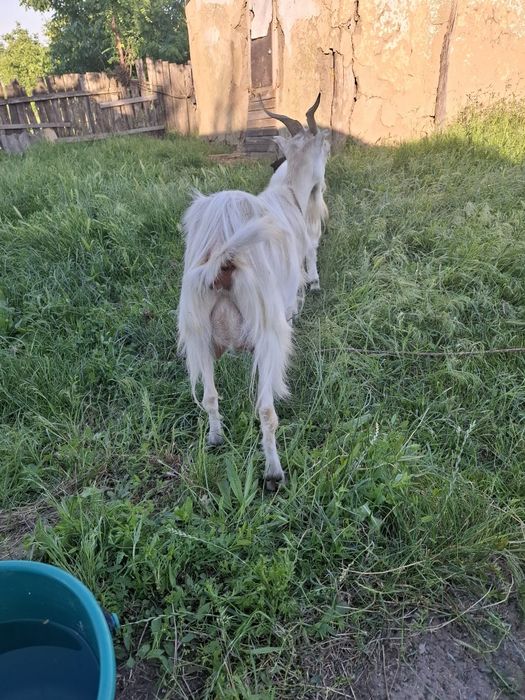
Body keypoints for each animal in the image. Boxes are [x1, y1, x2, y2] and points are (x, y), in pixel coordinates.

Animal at [177, 96, 330, 489]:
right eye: (324, 146)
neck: (289, 194)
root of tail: (223, 258)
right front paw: (315, 282)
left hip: (198, 333)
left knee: (210, 397)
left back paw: (216, 440)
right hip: (268, 332)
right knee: (265, 410)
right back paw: (274, 473)